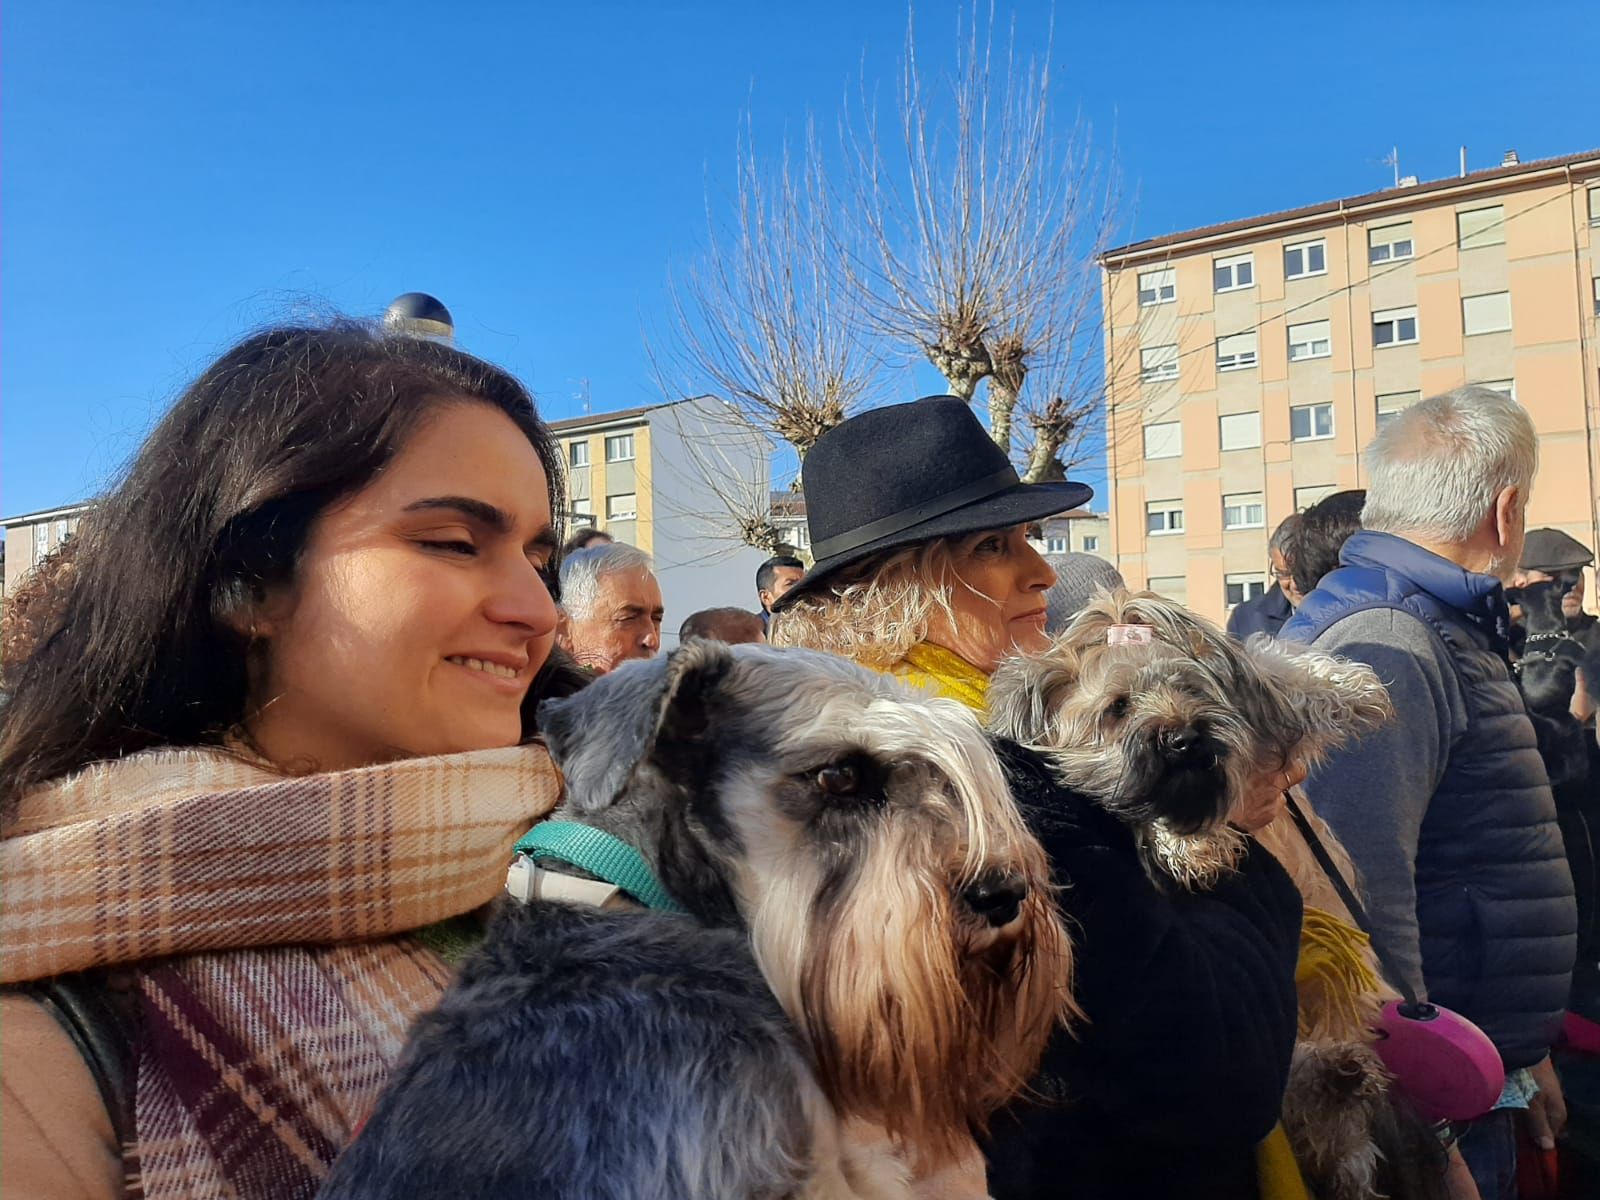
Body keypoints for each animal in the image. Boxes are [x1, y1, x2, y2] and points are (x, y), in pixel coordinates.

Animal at [979, 592, 1395, 896]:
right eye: (1118, 706)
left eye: (1189, 687)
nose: (1185, 740)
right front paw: (1191, 845)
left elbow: (1272, 662)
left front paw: (1348, 689)